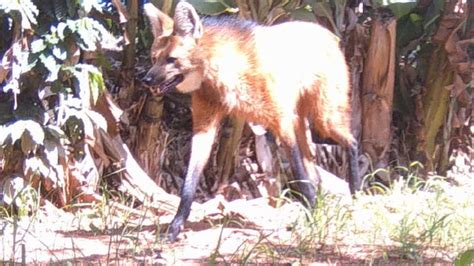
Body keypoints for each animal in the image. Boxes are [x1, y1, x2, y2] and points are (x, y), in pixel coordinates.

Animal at [142, 1, 360, 241]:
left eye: (171, 60)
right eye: (154, 58)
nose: (146, 79)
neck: (219, 75)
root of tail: (325, 30)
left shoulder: (281, 121)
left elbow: (298, 172)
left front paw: (314, 217)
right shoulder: (204, 125)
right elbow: (190, 181)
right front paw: (175, 225)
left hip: (324, 117)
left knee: (351, 142)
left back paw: (356, 194)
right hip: (301, 120)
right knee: (312, 166)